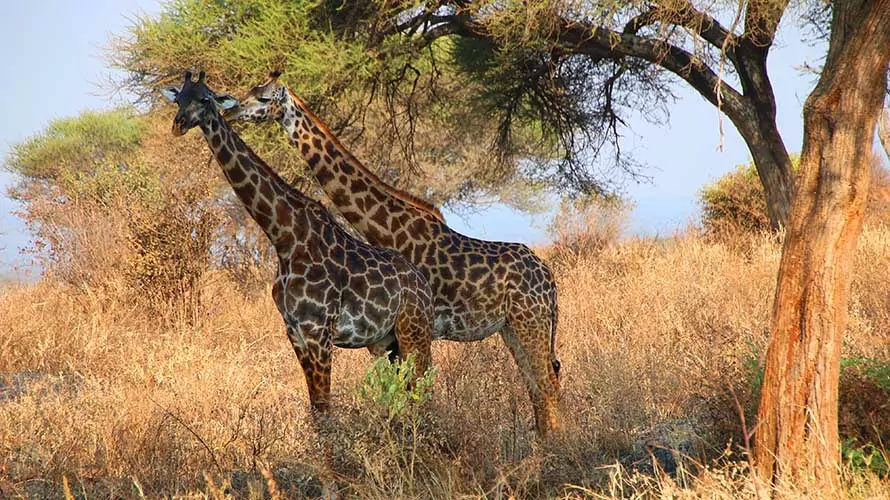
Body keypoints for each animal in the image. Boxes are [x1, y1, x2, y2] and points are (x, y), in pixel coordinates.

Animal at [162, 70, 434, 416]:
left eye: (205, 98)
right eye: (179, 98)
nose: (179, 124)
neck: (284, 237)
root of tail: (424, 286)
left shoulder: (318, 331)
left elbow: (324, 408)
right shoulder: (294, 331)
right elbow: (316, 409)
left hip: (414, 333)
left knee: (422, 391)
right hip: (385, 341)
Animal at [225, 71, 560, 438]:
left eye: (263, 98)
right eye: (250, 91)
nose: (230, 111)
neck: (387, 228)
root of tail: (550, 279)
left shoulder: (411, 330)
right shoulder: (389, 337)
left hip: (531, 322)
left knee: (547, 382)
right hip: (511, 327)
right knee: (537, 383)